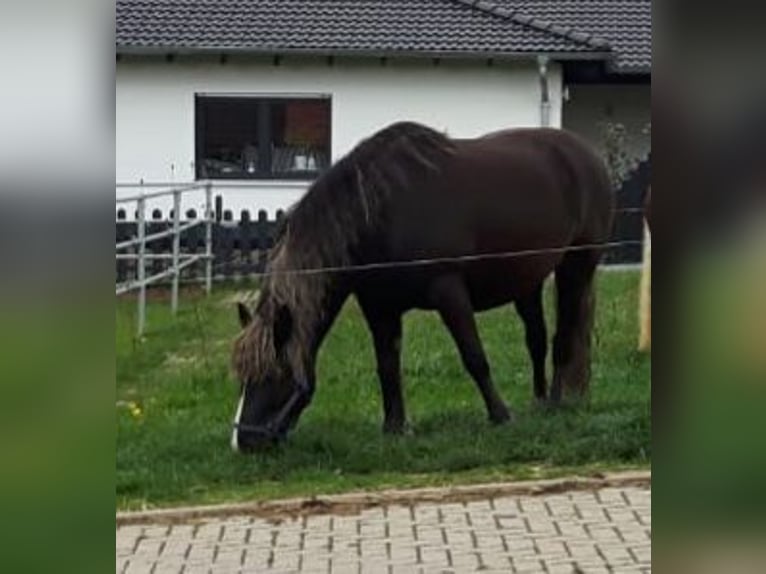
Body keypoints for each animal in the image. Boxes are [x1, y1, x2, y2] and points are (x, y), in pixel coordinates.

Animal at [231, 122, 616, 454]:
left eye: (272, 375)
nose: (244, 442)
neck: (379, 213)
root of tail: (587, 154)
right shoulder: (380, 307)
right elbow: (387, 366)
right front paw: (394, 427)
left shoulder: (449, 292)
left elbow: (475, 358)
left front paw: (500, 415)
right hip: (527, 281)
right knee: (536, 339)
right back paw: (538, 400)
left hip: (577, 266)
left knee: (563, 339)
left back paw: (555, 403)